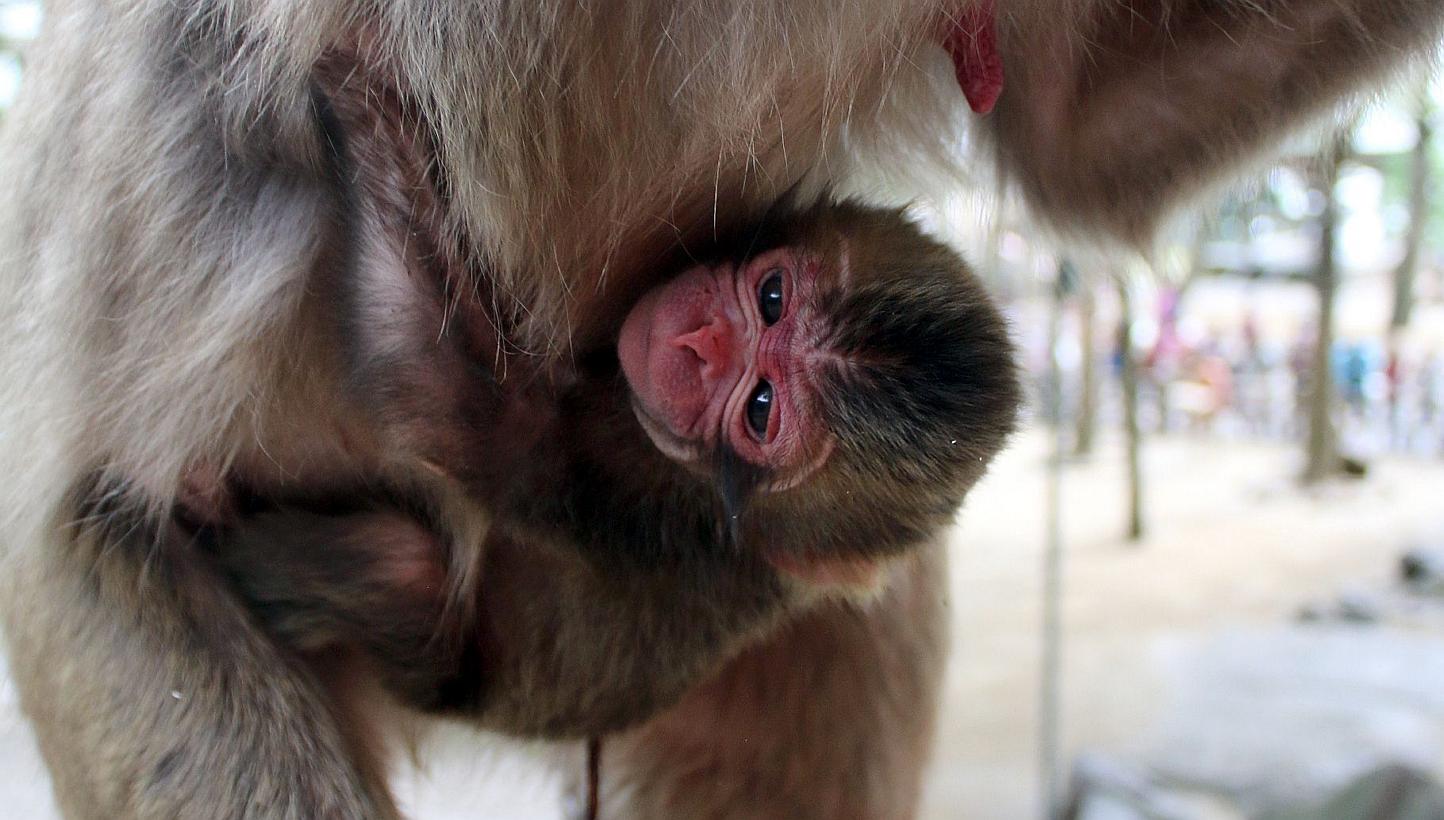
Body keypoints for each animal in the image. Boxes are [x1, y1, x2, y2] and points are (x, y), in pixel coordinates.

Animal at [197, 198, 1020, 737]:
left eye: (759, 407)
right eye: (772, 296)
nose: (698, 342)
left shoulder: (640, 493)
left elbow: (448, 402)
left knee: (406, 568)